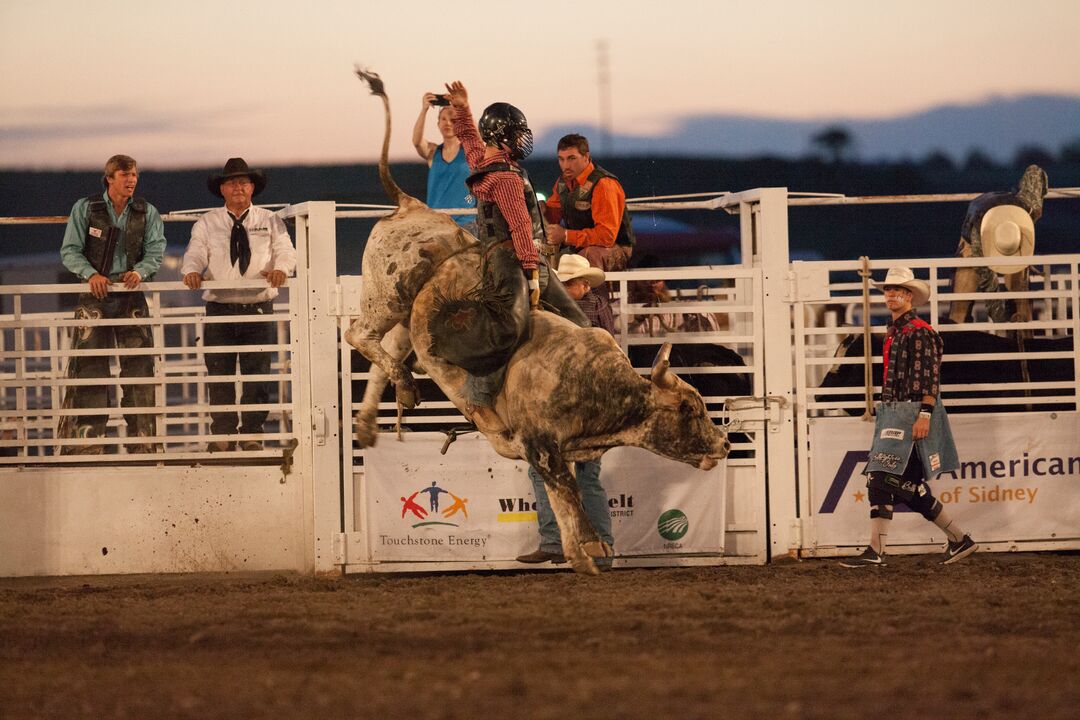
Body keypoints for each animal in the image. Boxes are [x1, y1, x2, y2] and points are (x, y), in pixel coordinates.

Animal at [343, 67, 734, 574]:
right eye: (690, 409)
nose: (725, 446)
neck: (595, 387)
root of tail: (408, 204)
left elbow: (573, 496)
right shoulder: (541, 446)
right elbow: (568, 500)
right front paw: (587, 553)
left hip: (406, 322)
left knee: (382, 356)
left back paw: (381, 413)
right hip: (388, 293)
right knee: (357, 333)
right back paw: (399, 390)